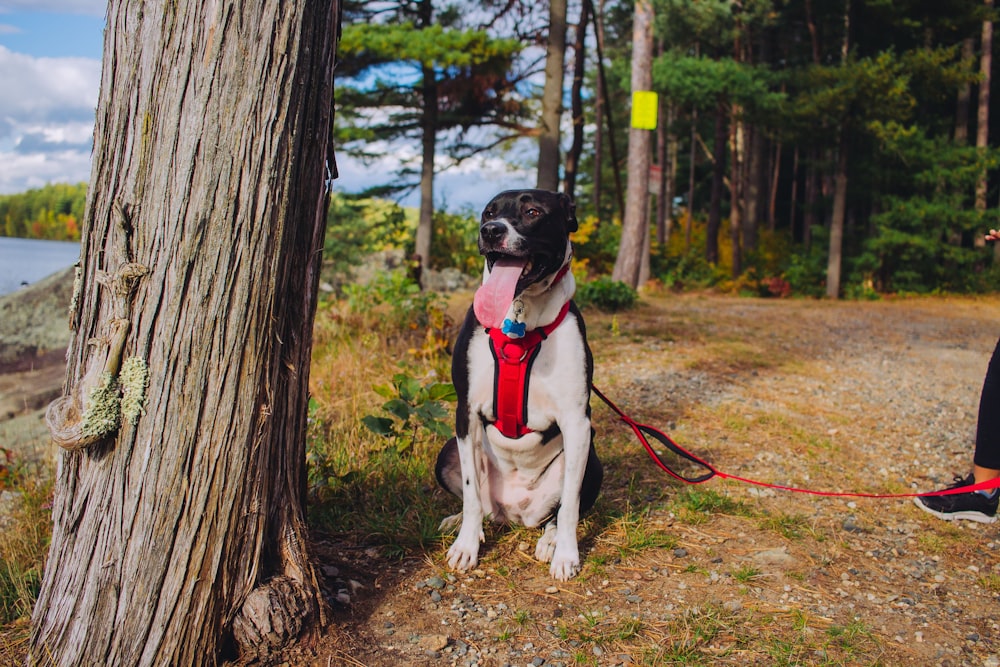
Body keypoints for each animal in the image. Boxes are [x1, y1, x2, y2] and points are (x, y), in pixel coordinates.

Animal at [436, 188, 600, 580]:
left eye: (532, 212)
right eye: (487, 212)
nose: (491, 231)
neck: (519, 322)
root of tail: (513, 513)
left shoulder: (577, 422)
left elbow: (570, 505)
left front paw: (566, 555)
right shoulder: (466, 413)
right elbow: (470, 492)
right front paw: (466, 545)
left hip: (591, 458)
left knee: (559, 511)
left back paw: (550, 541)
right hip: (447, 452)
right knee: (478, 502)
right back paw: (462, 522)